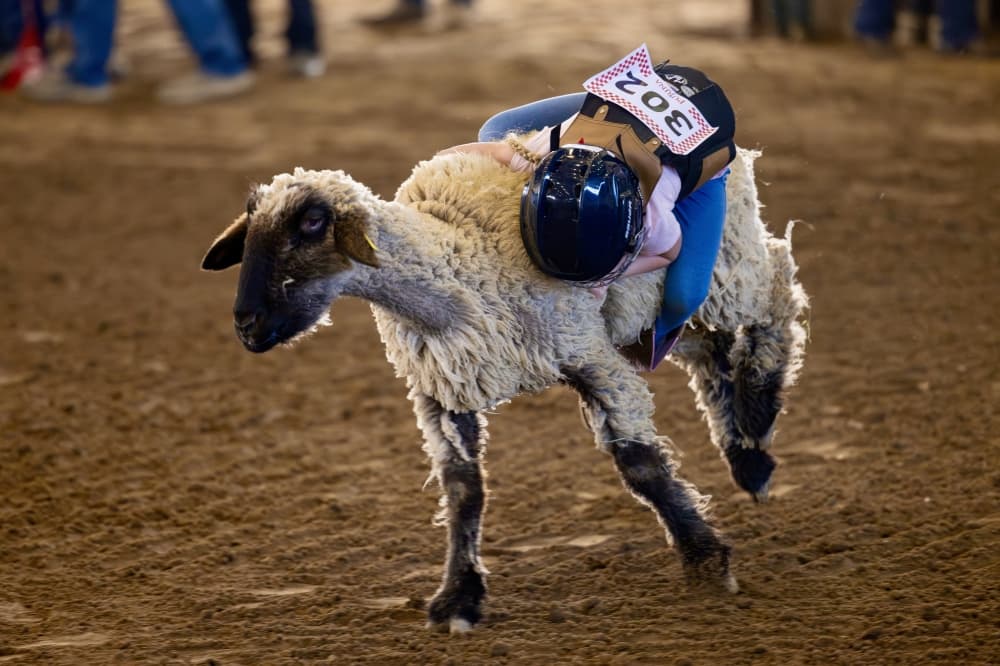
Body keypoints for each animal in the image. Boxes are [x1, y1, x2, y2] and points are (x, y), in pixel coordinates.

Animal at [201, 147, 808, 633]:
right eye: (250, 229)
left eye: (311, 222)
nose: (246, 325)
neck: (452, 273)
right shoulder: (444, 391)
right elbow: (462, 490)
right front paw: (458, 598)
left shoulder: (587, 354)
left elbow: (641, 465)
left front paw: (705, 561)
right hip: (656, 315)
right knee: (711, 354)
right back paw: (744, 448)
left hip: (724, 264)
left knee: (777, 292)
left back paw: (757, 428)